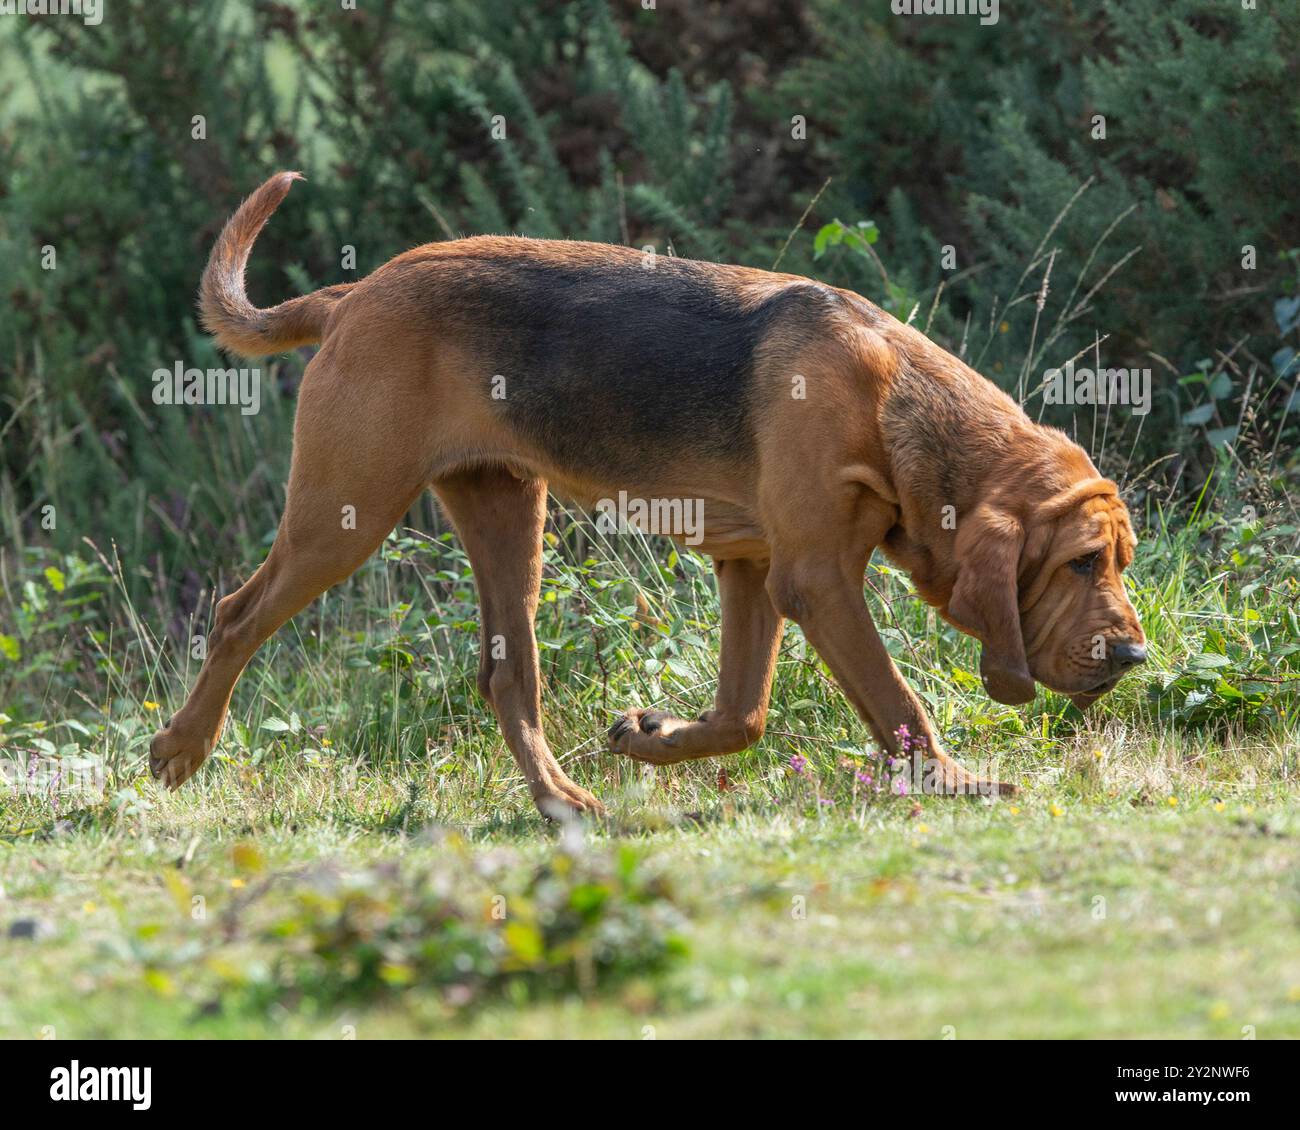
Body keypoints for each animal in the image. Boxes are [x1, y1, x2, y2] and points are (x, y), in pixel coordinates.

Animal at [149, 174, 1149, 811]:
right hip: (342, 517)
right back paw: (180, 750)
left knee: (507, 673)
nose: (1136, 657)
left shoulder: (755, 573)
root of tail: (356, 293)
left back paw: (561, 800)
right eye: (1080, 563)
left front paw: (647, 736)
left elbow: (740, 717)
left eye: (1119, 560)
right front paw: (954, 782)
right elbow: (899, 705)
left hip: (507, 515)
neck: (895, 402)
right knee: (236, 617)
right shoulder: (816, 579)